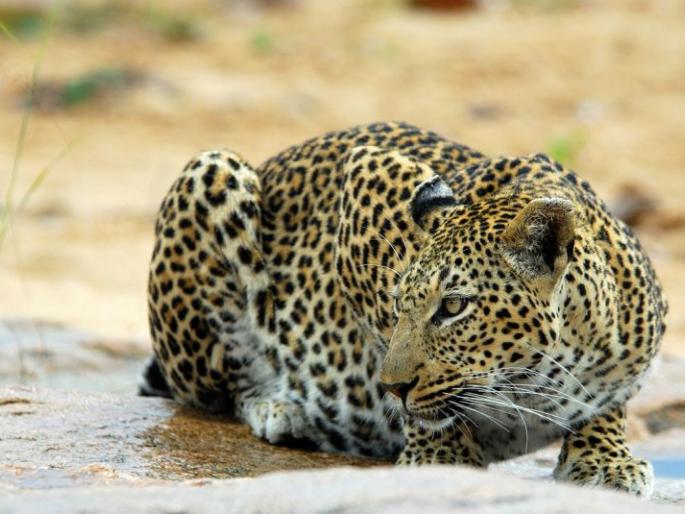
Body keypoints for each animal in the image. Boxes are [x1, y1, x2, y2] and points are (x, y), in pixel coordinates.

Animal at [141, 121, 667, 496]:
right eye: (399, 306)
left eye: (453, 306)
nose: (393, 388)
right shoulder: (365, 179)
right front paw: (439, 457)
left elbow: (607, 403)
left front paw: (603, 459)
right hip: (211, 171)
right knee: (215, 390)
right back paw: (279, 406)